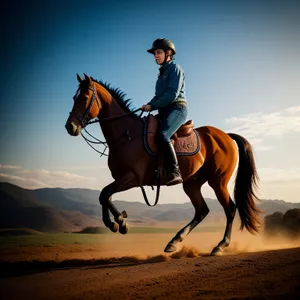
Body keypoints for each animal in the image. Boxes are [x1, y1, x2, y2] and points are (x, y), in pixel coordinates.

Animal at [65, 73, 260, 255]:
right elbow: (105, 196)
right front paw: (115, 223)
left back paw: (220, 246)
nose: (70, 127)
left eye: (84, 98)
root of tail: (226, 136)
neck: (126, 134)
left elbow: (104, 194)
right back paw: (174, 242)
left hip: (218, 182)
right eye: (74, 98)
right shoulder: (119, 178)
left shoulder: (132, 178)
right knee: (202, 210)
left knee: (230, 209)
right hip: (192, 183)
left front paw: (120, 222)